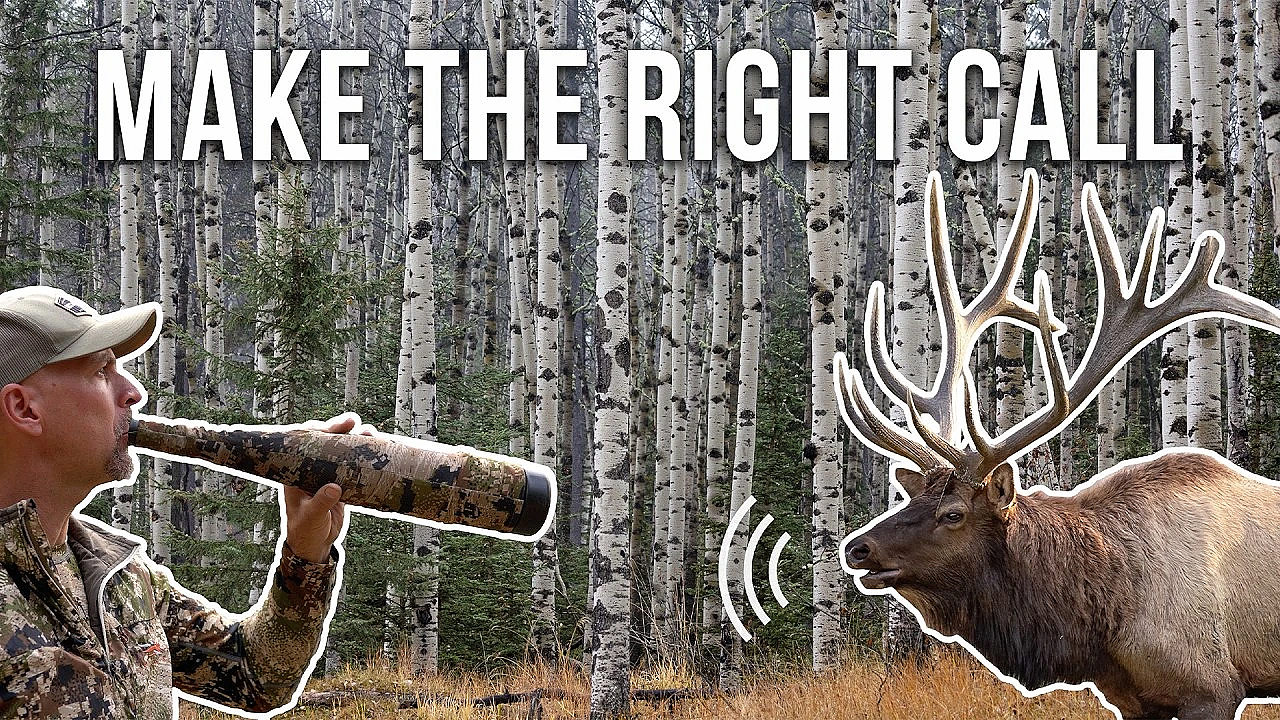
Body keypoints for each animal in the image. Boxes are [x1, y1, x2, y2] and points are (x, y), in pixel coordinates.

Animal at [836, 169, 1280, 720]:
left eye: (953, 513)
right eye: (909, 499)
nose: (857, 547)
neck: (1103, 617)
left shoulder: (1212, 685)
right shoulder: (1132, 699)